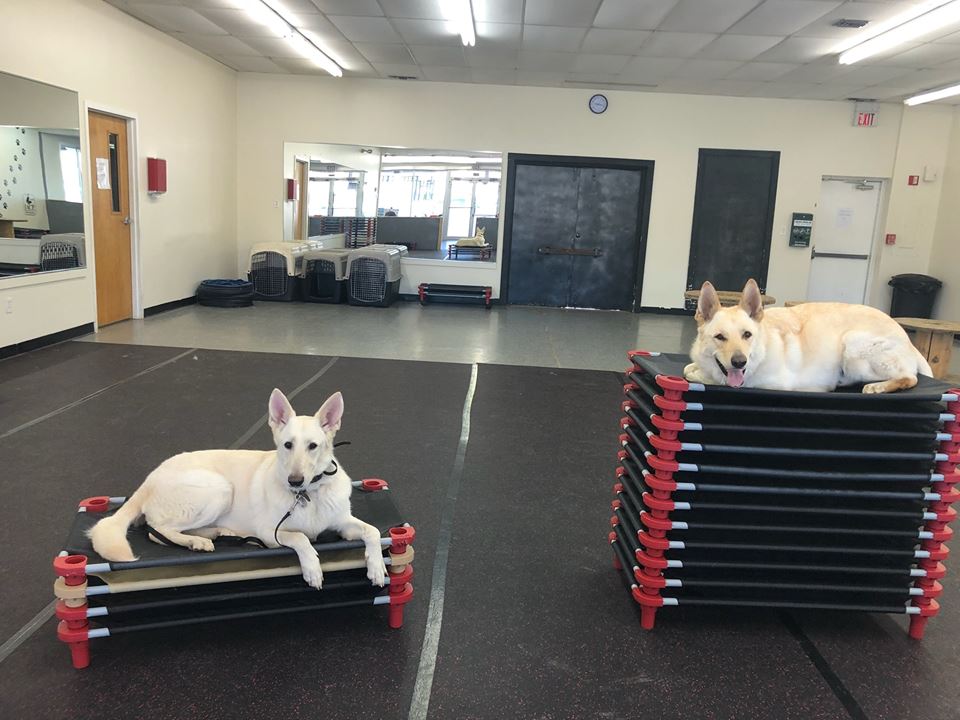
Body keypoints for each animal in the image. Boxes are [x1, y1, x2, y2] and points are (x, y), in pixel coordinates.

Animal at [88, 390, 388, 588]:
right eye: (287, 445)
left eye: (313, 446)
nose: (294, 481)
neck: (308, 495)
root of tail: (148, 480)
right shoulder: (271, 533)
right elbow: (302, 538)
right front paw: (312, 568)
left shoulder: (344, 523)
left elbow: (372, 531)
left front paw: (376, 566)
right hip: (219, 489)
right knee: (157, 531)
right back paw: (196, 541)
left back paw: (217, 533)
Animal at [684, 280, 928, 394]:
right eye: (720, 337)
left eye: (747, 335)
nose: (739, 362)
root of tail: (909, 341)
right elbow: (689, 369)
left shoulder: (768, 383)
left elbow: (703, 376)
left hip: (852, 345)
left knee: (910, 377)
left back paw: (879, 387)